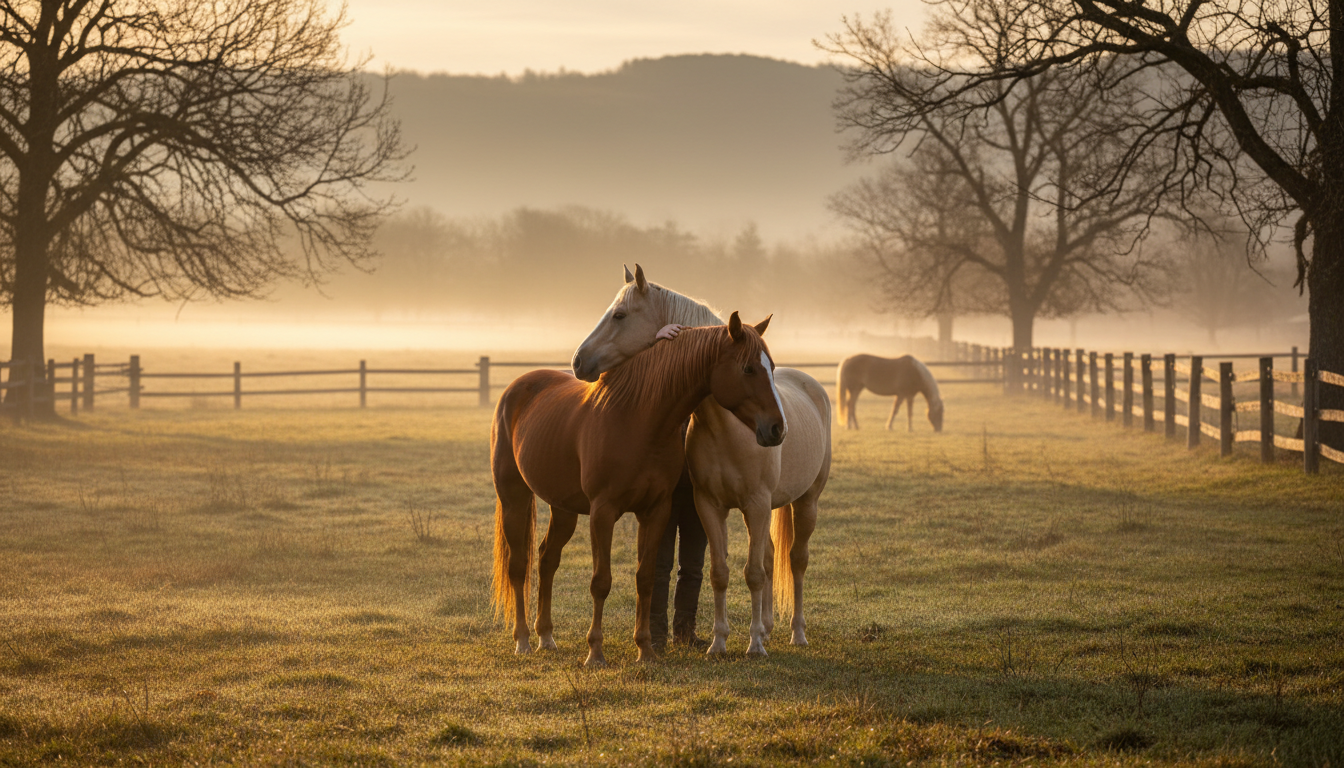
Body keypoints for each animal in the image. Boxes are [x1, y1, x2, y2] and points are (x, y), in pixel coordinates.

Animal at [492, 313, 786, 668]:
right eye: (748, 369)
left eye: (772, 367)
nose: (777, 428)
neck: (636, 420)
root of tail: (517, 387)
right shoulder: (603, 513)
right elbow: (601, 582)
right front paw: (595, 652)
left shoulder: (655, 511)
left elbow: (645, 579)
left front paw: (645, 649)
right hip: (514, 498)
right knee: (518, 565)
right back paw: (522, 639)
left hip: (563, 508)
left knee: (547, 559)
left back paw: (545, 637)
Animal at [573, 264, 831, 657]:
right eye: (749, 369)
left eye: (619, 315)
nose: (578, 360)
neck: (728, 431)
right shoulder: (711, 505)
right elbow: (720, 572)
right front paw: (719, 642)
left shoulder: (755, 505)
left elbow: (753, 574)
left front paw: (753, 646)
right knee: (770, 557)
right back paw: (767, 628)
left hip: (806, 502)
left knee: (796, 561)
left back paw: (795, 632)